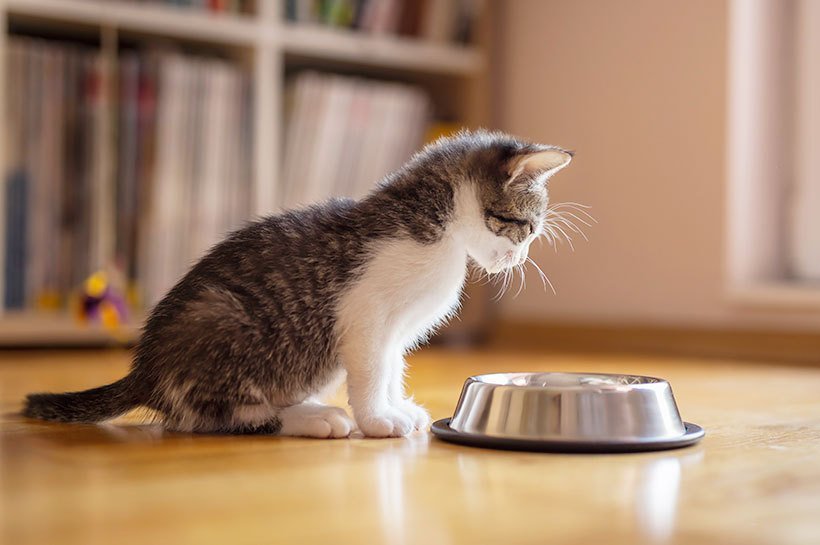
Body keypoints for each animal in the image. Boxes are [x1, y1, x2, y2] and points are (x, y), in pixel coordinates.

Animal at [22, 129, 572, 438]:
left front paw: (395, 406)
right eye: (525, 228)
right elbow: (371, 369)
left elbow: (391, 366)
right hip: (220, 318)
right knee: (203, 417)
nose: (519, 258)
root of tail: (145, 370)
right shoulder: (365, 313)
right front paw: (377, 420)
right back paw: (310, 420)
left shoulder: (394, 328)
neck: (437, 226)